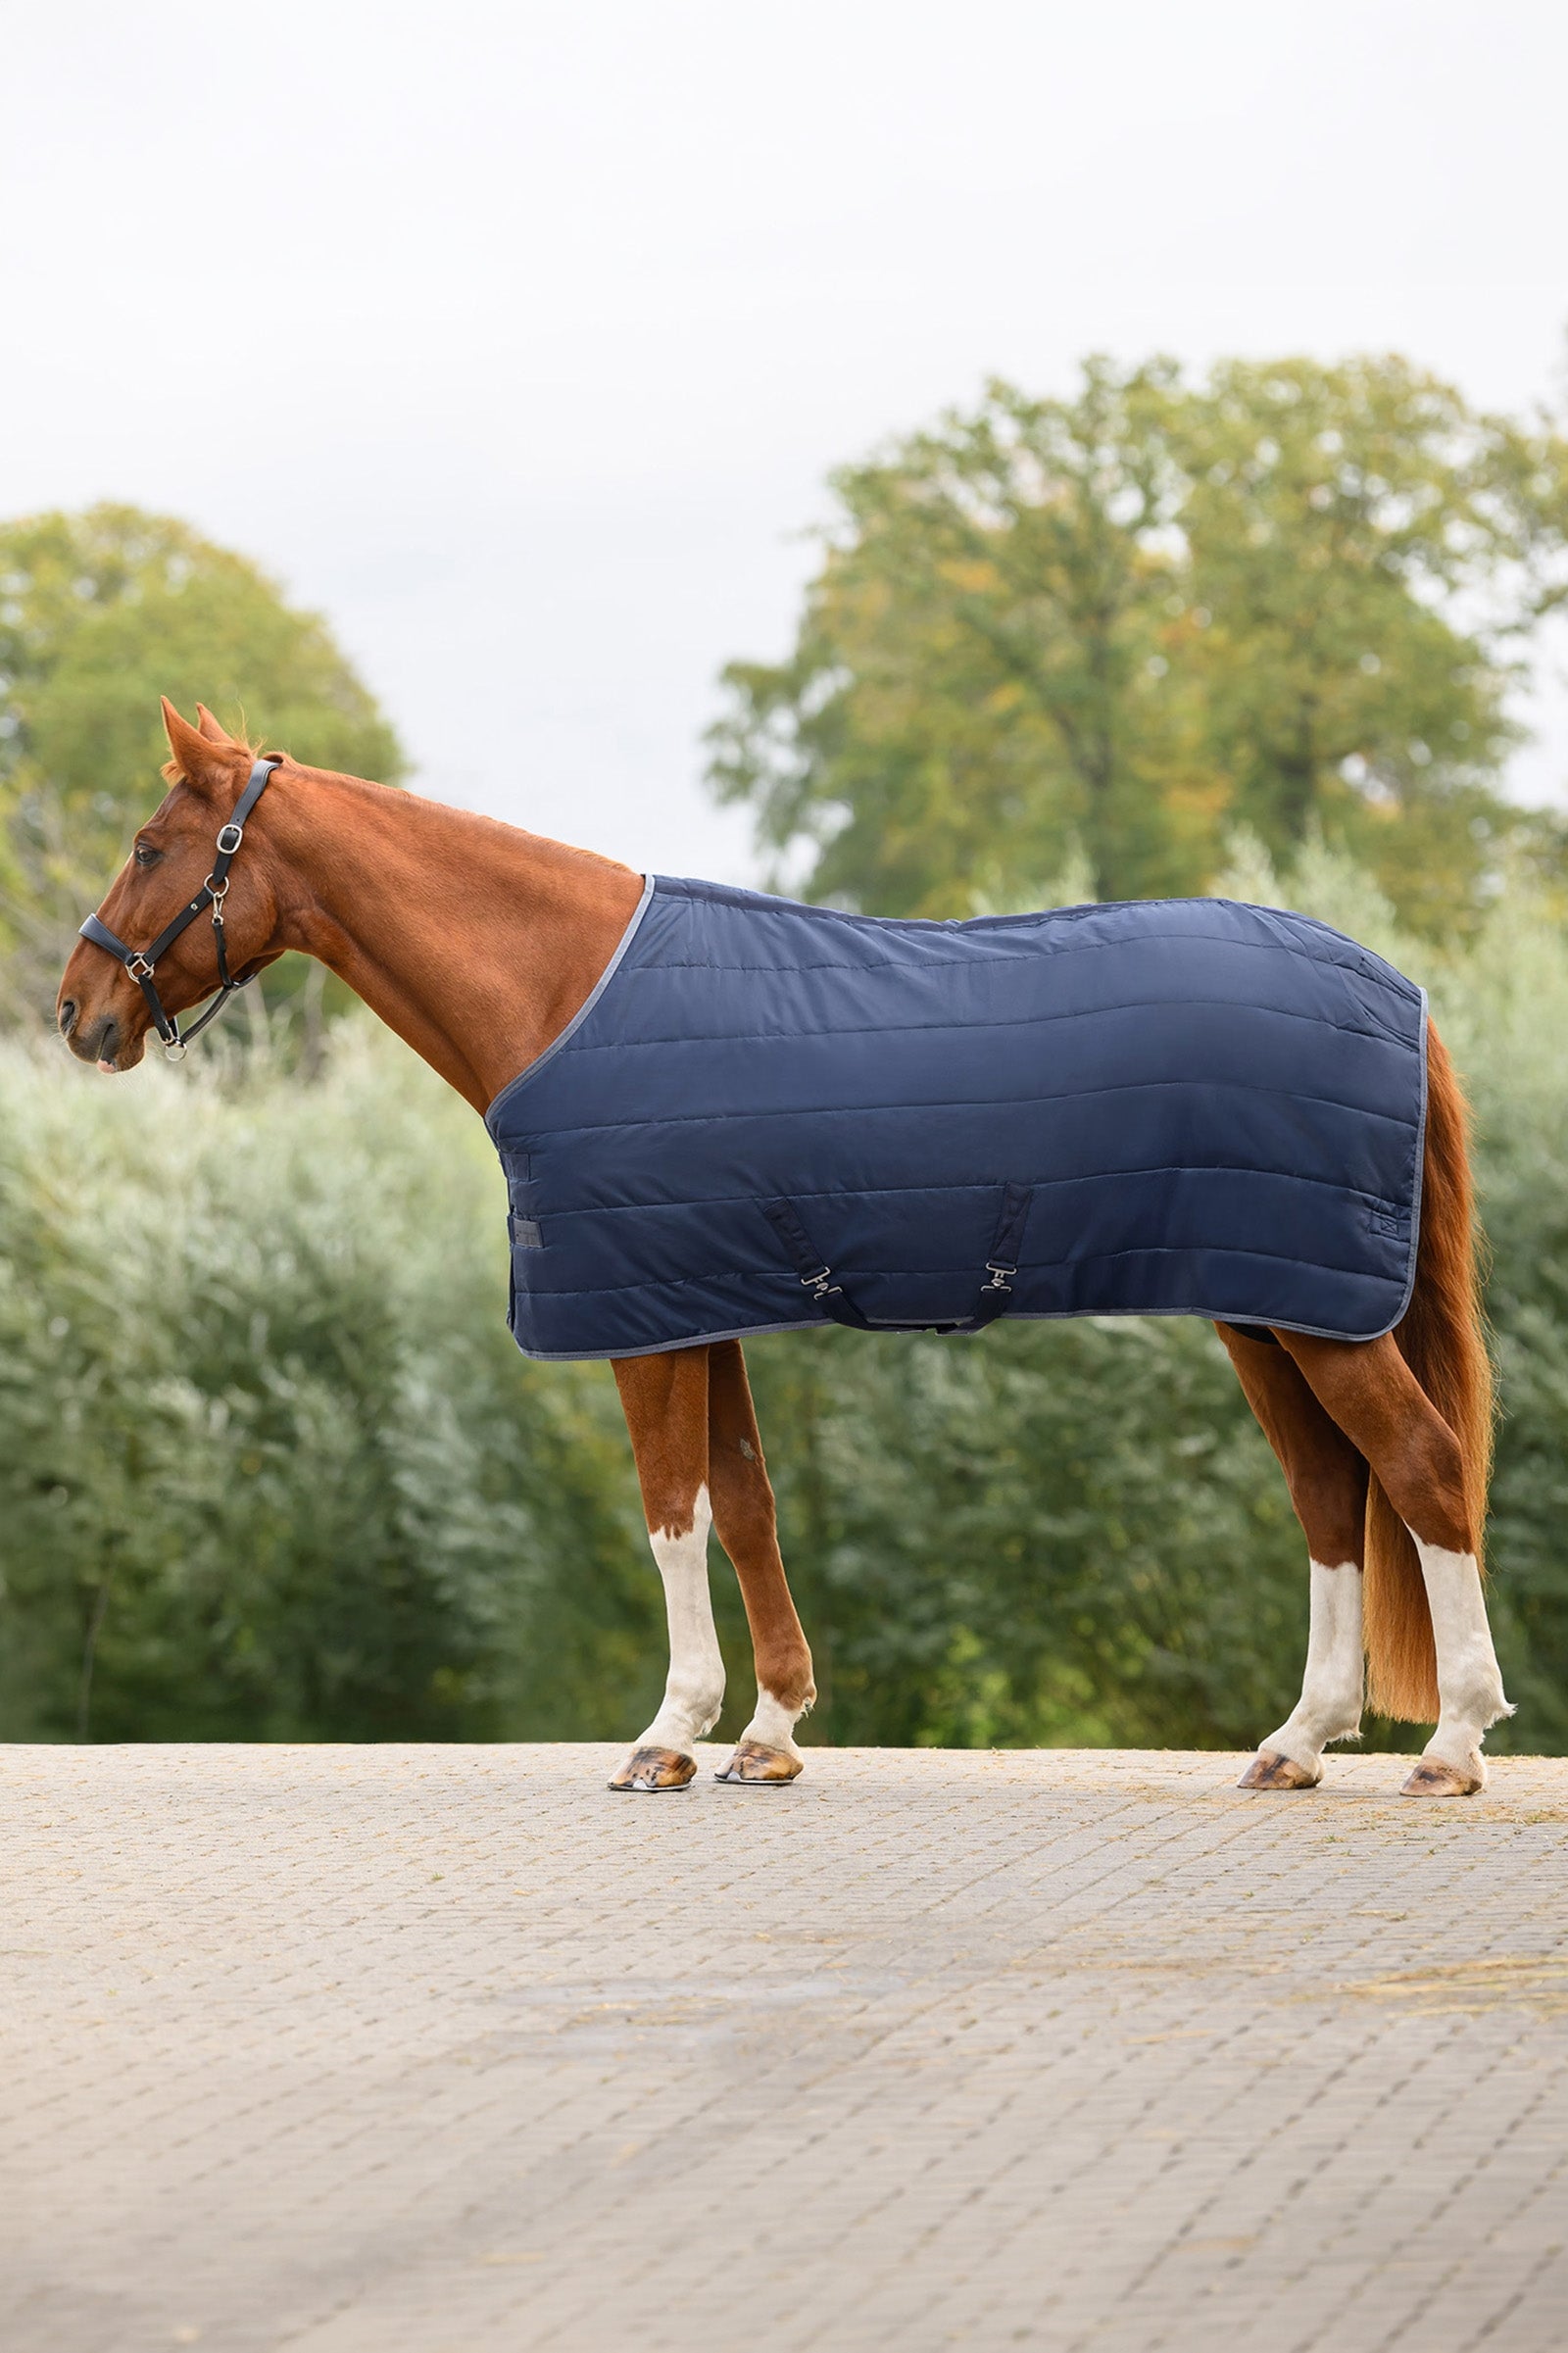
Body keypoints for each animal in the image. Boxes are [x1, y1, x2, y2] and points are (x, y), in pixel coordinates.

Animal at [56, 701, 1512, 1798]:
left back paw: (1449, 1743)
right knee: (1330, 1495)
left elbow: (671, 1513)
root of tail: (1395, 988)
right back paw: (1296, 1742)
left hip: (1316, 1315)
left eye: (149, 844)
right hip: (1269, 1307)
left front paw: (668, 1733)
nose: (78, 1013)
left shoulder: (643, 1322)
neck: (565, 991)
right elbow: (746, 1503)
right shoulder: (702, 1307)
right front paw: (768, 1733)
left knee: (1422, 1469)